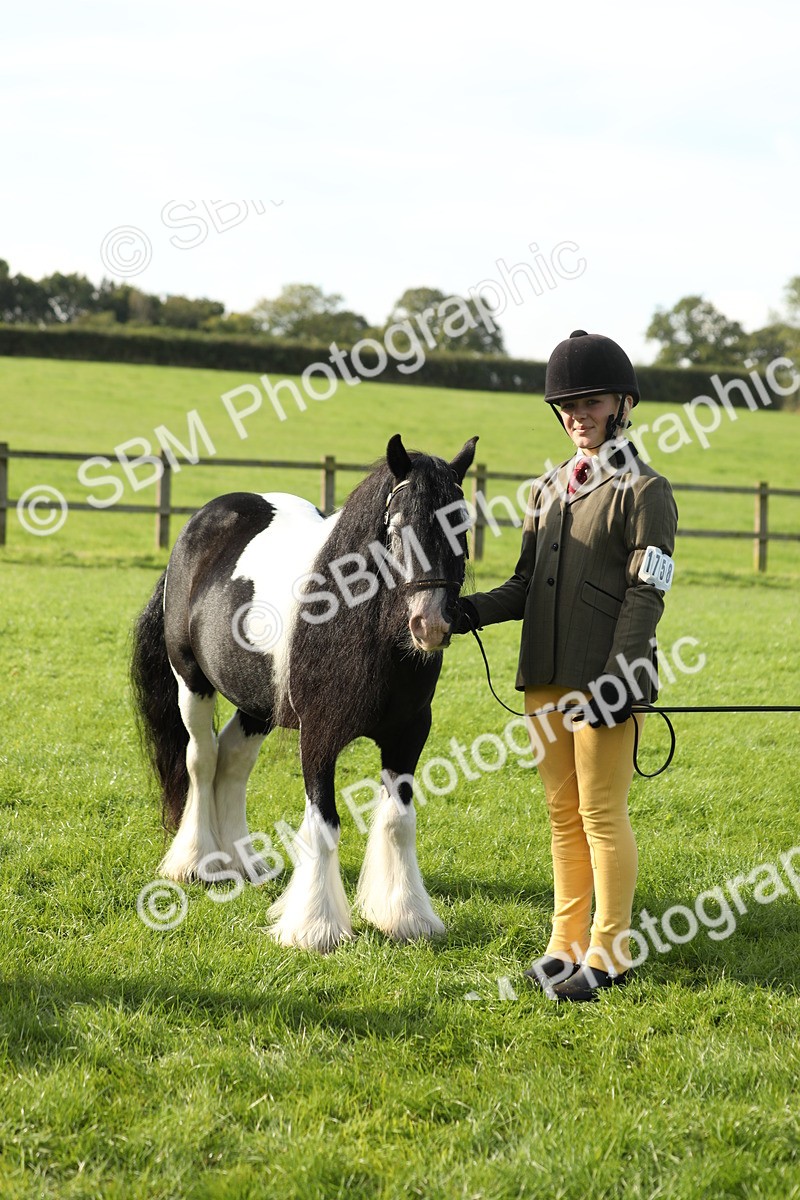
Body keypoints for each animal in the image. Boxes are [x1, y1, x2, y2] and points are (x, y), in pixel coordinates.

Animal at [131, 433, 477, 952]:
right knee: (202, 759)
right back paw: (195, 862)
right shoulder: (318, 736)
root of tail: (203, 520)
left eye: (462, 525)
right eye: (396, 528)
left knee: (233, 761)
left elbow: (398, 821)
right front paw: (316, 927)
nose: (430, 624)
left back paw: (242, 861)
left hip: (257, 701)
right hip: (191, 682)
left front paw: (404, 917)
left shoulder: (409, 734)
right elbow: (325, 823)